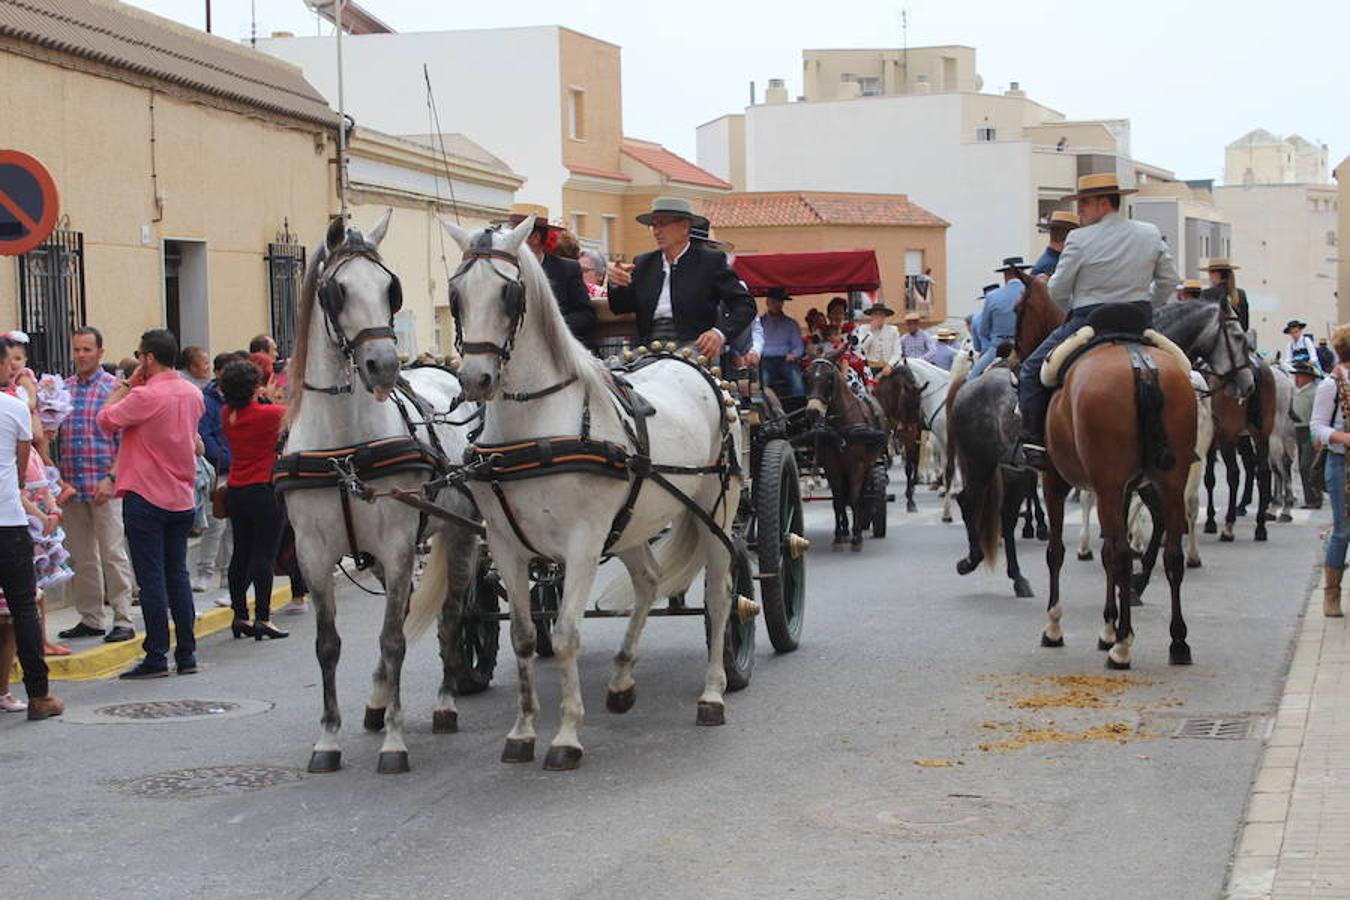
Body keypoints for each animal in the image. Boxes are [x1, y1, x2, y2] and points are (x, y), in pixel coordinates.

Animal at [279, 213, 480, 777]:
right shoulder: (313, 552)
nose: (384, 365)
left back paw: (445, 702)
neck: (345, 446)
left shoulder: (396, 544)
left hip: (458, 535)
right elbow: (327, 645)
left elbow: (394, 637)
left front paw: (394, 741)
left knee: (450, 617)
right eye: (336, 291)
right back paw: (376, 699)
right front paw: (329, 739)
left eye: (391, 288)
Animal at [442, 214, 745, 771]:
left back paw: (713, 693)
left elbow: (565, 634)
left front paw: (565, 736)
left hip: (716, 507)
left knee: (719, 594)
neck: (536, 425)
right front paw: (522, 731)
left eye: (509, 293)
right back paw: (623, 679)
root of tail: (689, 362)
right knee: (648, 582)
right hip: (632, 523)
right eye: (456, 294)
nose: (477, 379)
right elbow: (522, 637)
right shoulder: (506, 543)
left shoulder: (582, 541)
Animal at [804, 356, 891, 550]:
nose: (812, 411)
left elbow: (854, 497)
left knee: (860, 493)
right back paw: (845, 529)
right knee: (843, 496)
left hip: (869, 465)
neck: (841, 429)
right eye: (808, 377)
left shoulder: (857, 466)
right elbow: (838, 500)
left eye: (829, 379)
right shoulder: (832, 467)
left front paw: (856, 536)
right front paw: (839, 535)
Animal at [1015, 277, 1198, 671]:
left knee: (1124, 556)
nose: (1011, 350)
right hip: (1170, 481)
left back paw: (1123, 649)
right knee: (1170, 555)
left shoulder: (1056, 481)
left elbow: (1057, 551)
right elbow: (1106, 552)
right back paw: (1178, 642)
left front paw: (1056, 627)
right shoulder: (1121, 488)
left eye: (1018, 309)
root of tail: (1140, 364)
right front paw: (1107, 628)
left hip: (1109, 484)